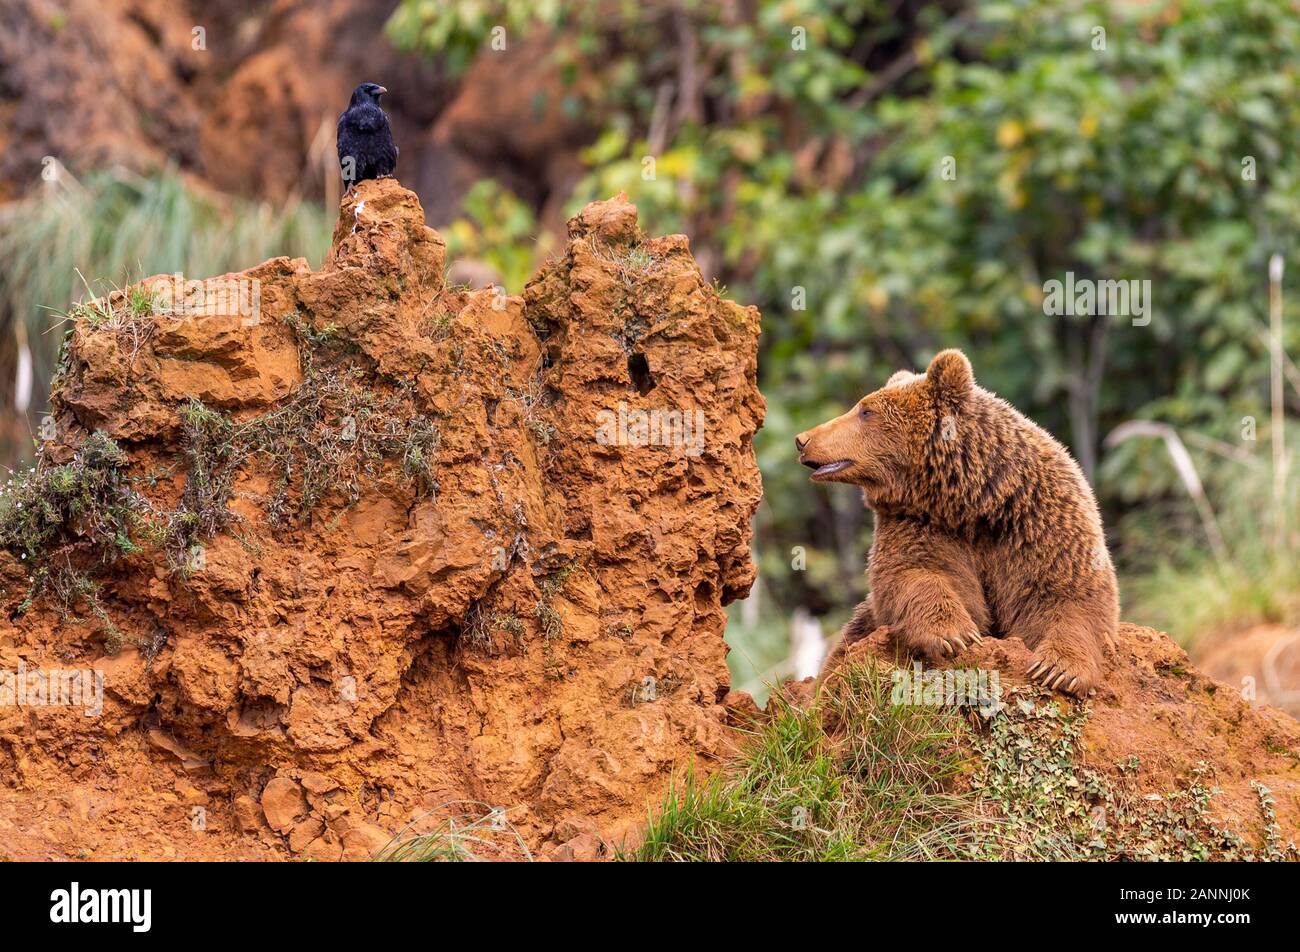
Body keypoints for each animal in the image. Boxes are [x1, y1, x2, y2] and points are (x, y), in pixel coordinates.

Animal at [795, 345, 1123, 697]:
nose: (803, 439)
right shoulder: (918, 521)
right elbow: (914, 572)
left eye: (865, 411)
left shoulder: (1039, 518)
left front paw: (1058, 670)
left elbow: (1069, 594)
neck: (973, 501)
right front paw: (955, 634)